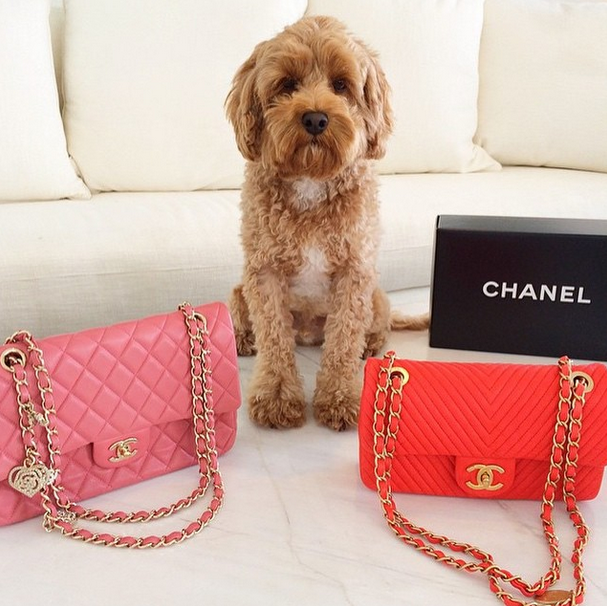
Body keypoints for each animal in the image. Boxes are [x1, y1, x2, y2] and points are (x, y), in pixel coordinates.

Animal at [226, 16, 427, 431]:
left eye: (341, 84)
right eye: (287, 84)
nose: (316, 118)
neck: (311, 180)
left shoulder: (354, 273)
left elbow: (343, 341)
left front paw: (339, 397)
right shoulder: (264, 272)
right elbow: (274, 338)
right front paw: (276, 398)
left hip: (377, 295)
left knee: (376, 325)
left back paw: (371, 345)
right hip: (239, 289)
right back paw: (242, 339)